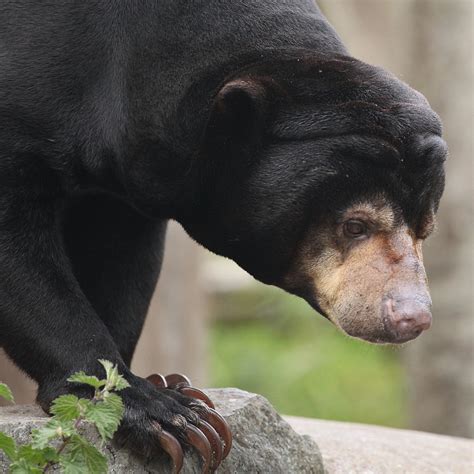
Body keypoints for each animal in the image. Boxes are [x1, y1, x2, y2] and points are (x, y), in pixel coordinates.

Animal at [0, 0, 444, 470]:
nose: (411, 318)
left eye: (424, 229)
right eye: (354, 225)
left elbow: (120, 260)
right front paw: (169, 418)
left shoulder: (129, 185)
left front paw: (168, 386)